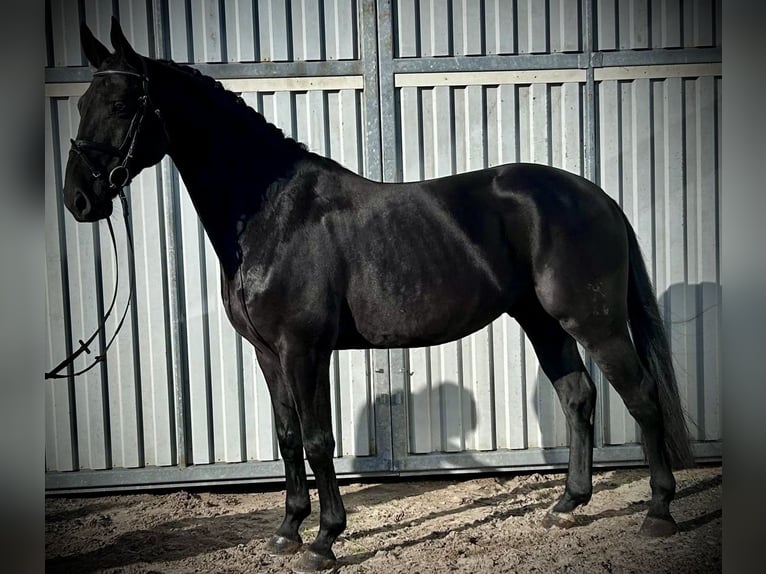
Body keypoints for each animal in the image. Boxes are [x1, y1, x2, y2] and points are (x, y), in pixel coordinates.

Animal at [61, 19, 696, 574]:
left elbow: (319, 441)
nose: (78, 199)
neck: (272, 216)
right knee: (578, 396)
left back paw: (659, 512)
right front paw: (287, 532)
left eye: (123, 105)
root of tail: (598, 197)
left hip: (594, 321)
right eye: (80, 103)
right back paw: (567, 506)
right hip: (542, 321)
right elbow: (288, 438)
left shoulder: (304, 350)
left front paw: (324, 541)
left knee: (641, 396)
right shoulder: (268, 354)